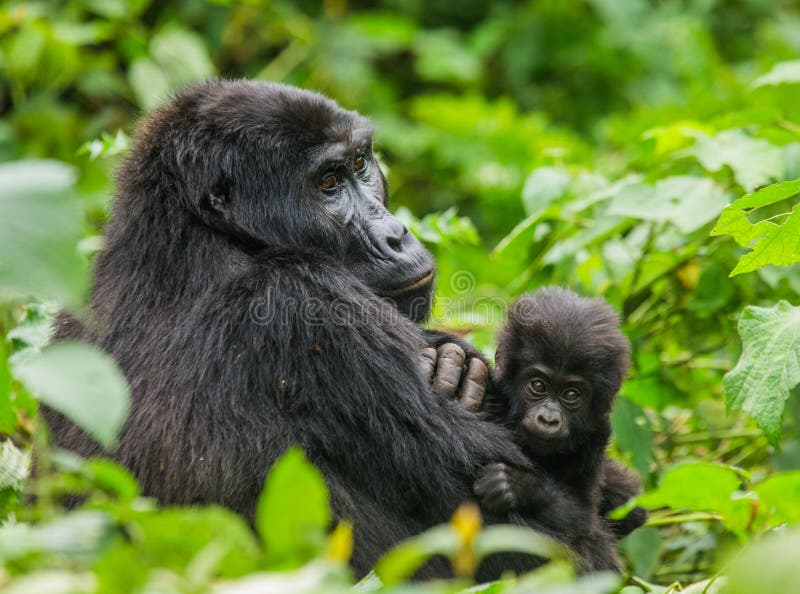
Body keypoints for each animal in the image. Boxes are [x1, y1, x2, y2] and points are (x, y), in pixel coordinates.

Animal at [45, 81, 612, 576]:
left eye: (361, 164)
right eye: (328, 183)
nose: (397, 234)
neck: (195, 231)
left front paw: (456, 362)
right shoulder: (306, 302)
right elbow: (548, 545)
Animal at [476, 284, 644, 548]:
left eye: (571, 394)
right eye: (538, 386)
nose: (548, 419)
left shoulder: (597, 435)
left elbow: (582, 518)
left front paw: (518, 487)